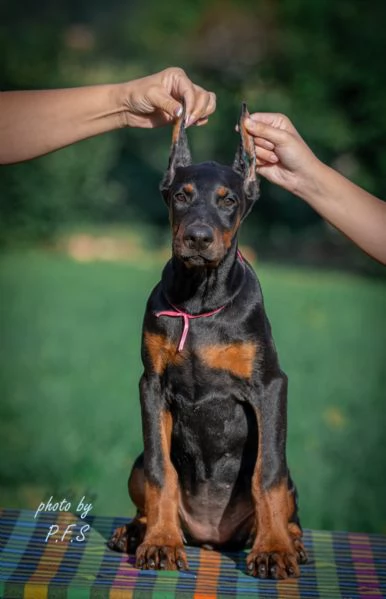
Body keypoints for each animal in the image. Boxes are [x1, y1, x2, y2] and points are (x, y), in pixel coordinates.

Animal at [108, 105, 308, 580]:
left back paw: (288, 540)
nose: (198, 238)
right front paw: (160, 542)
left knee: (285, 497)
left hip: (290, 481)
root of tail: (211, 538)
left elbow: (266, 473)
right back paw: (137, 530)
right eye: (181, 196)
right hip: (137, 466)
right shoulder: (152, 386)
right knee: (147, 478)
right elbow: (161, 471)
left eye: (228, 200)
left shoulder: (270, 385)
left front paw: (273, 550)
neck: (199, 301)